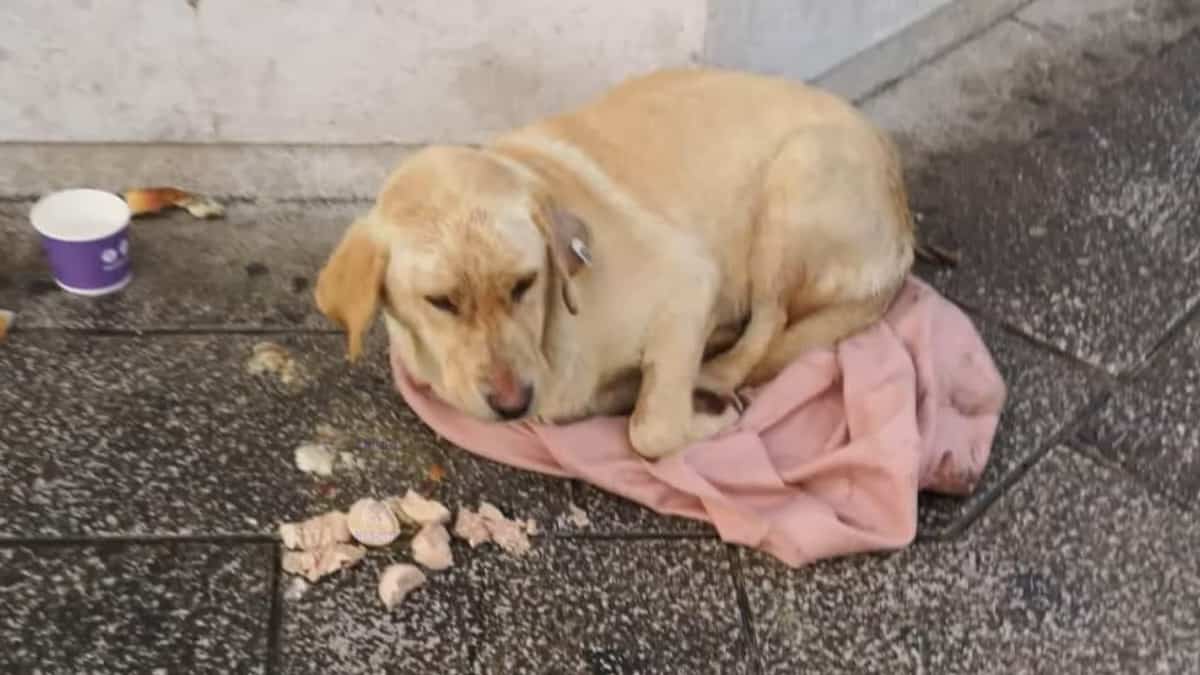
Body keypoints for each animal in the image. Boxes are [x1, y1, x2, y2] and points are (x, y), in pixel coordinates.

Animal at [314, 66, 912, 456]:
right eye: (440, 301)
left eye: (524, 284)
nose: (512, 403)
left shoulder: (690, 280)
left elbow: (650, 431)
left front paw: (702, 419)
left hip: (795, 179)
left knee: (771, 321)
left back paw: (718, 372)